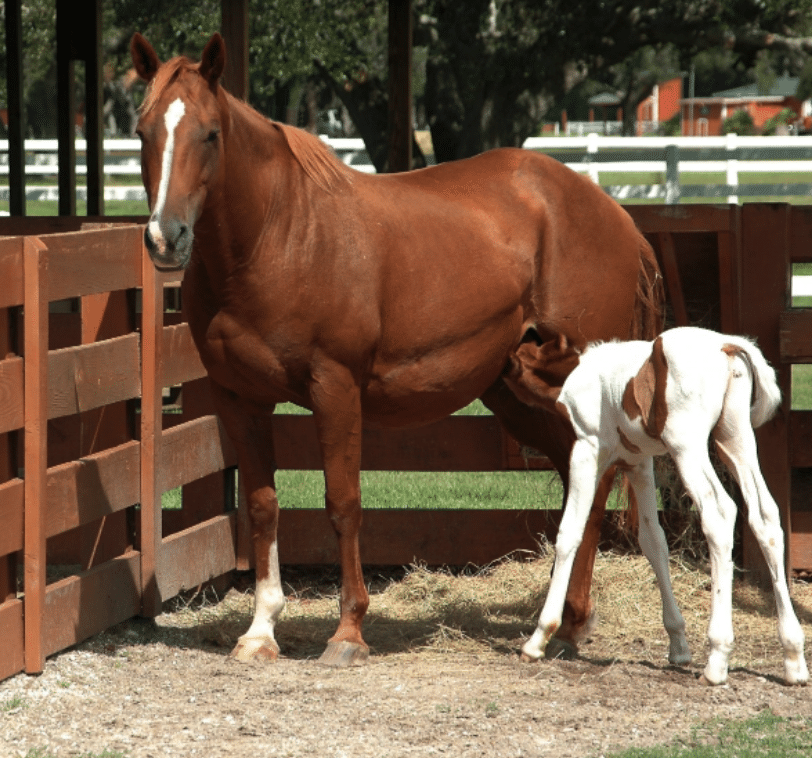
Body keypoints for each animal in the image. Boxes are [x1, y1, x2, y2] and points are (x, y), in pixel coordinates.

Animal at [133, 32, 664, 668]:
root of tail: (614, 215)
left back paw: (566, 624)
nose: (166, 238)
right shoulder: (239, 398)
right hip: (516, 390)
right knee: (577, 482)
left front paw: (348, 632)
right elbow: (262, 505)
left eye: (210, 133)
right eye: (142, 131)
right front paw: (261, 630)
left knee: (596, 481)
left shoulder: (335, 388)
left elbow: (343, 503)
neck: (278, 235)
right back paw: (569, 623)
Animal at [504, 326, 808, 688]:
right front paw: (678, 645)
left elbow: (570, 533)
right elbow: (653, 541)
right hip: (735, 440)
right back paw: (794, 658)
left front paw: (538, 639)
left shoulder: (587, 450)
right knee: (766, 518)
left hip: (687, 446)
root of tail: (727, 345)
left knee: (720, 514)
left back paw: (717, 660)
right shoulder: (639, 463)